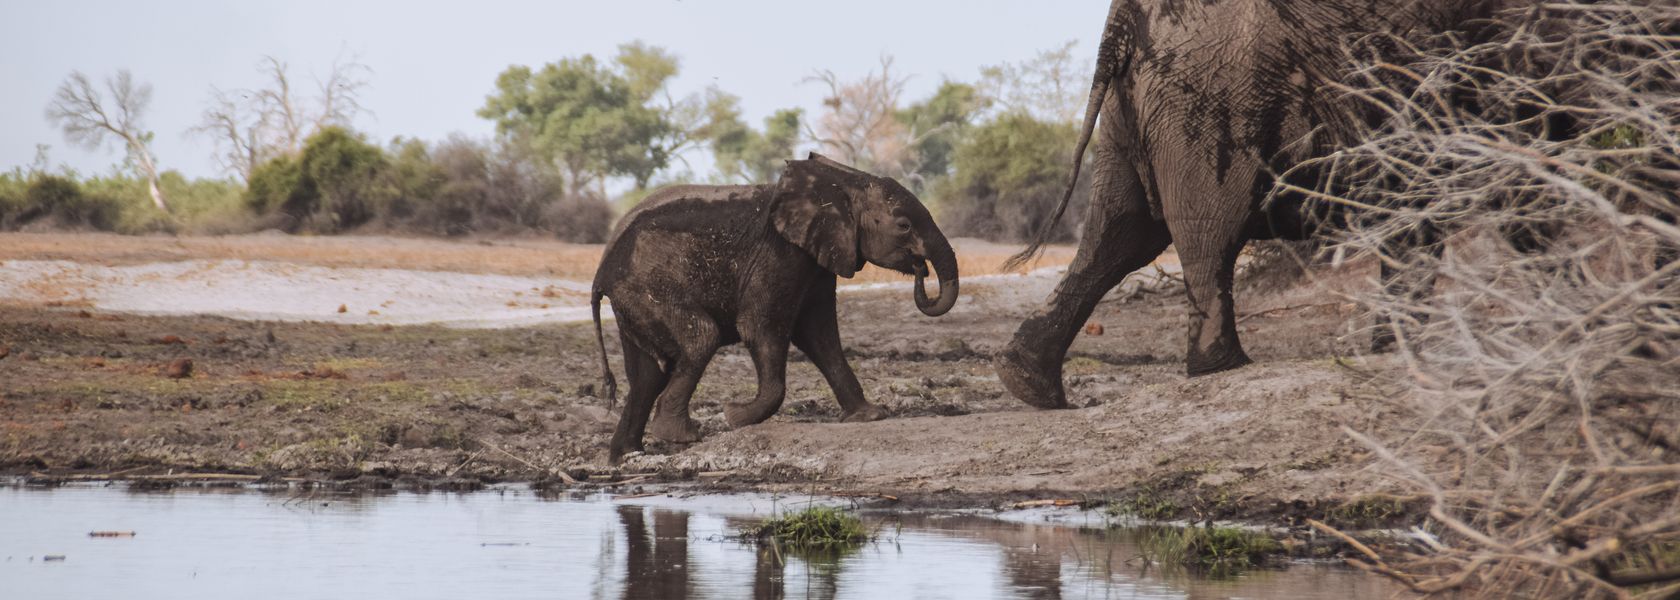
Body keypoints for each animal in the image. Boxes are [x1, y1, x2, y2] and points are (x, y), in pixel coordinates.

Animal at [591, 152, 960, 460]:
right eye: (904, 225)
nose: (920, 269)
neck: (843, 183)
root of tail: (601, 273)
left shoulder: (817, 257)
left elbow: (820, 335)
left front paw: (870, 415)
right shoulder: (779, 255)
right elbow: (761, 327)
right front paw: (734, 416)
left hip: (632, 302)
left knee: (647, 375)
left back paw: (627, 454)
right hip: (648, 288)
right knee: (701, 338)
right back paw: (680, 436)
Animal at [987, 0, 1532, 406]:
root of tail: (1122, 18)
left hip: (1143, 101)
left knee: (1121, 234)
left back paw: (1027, 382)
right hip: (1213, 91)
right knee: (1210, 232)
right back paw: (1224, 369)